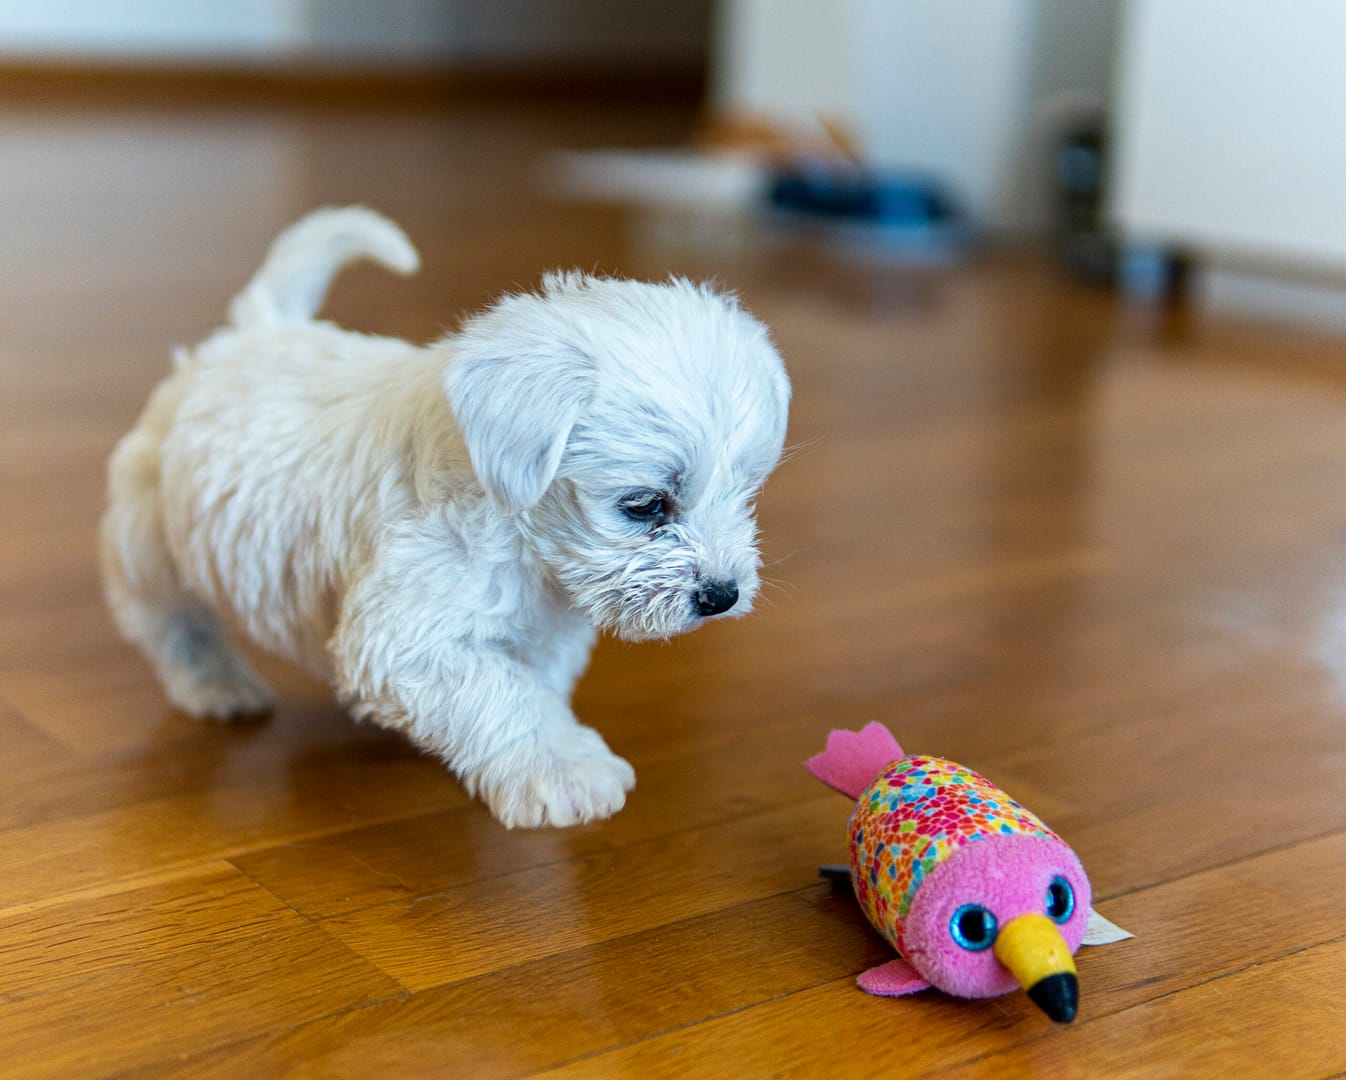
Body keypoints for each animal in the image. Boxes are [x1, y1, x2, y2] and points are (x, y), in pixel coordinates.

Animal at [102, 208, 786, 824]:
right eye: (643, 505)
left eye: (744, 492)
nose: (722, 595)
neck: (520, 532)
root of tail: (255, 332)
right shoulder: (407, 633)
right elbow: (505, 693)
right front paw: (563, 769)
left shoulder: (546, 631)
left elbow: (531, 683)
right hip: (148, 532)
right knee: (167, 616)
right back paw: (215, 684)